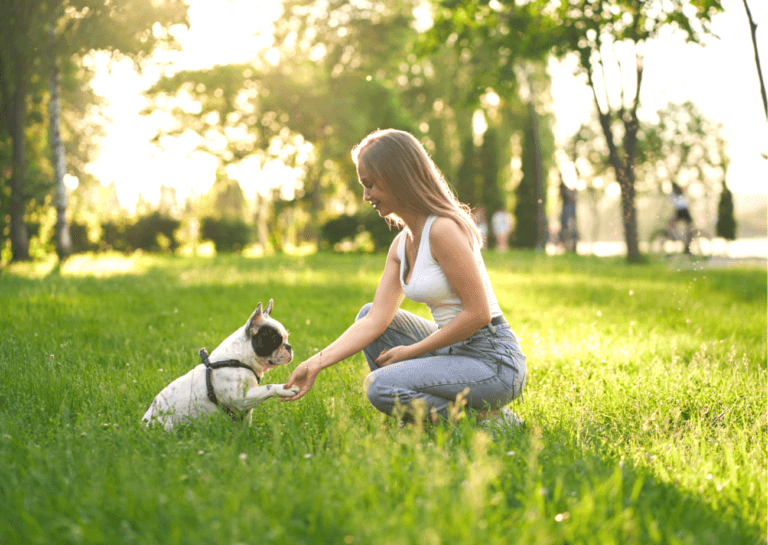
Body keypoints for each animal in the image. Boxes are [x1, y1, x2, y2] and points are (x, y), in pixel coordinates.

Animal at [142, 298, 298, 430]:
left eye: (286, 338)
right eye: (275, 341)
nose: (289, 346)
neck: (239, 360)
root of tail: (144, 423)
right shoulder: (240, 399)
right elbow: (268, 387)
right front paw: (286, 389)